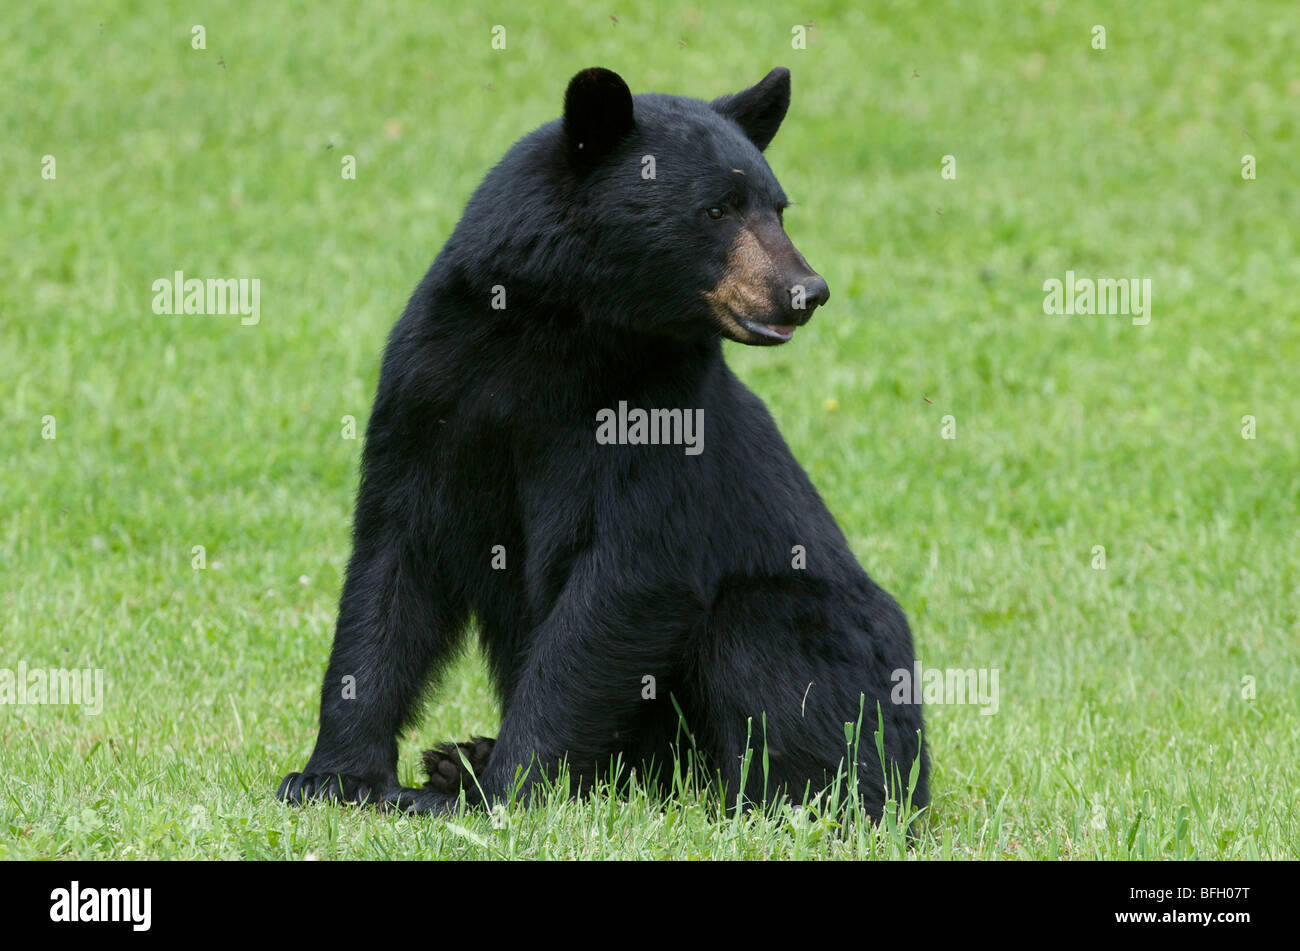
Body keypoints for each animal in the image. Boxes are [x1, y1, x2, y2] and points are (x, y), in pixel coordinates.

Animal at [277, 66, 928, 819]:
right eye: (716, 209)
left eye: (778, 208)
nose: (806, 291)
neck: (556, 330)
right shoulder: (431, 387)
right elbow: (393, 559)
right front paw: (333, 777)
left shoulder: (662, 405)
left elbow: (627, 578)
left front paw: (498, 791)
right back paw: (459, 760)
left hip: (839, 652)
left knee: (769, 655)